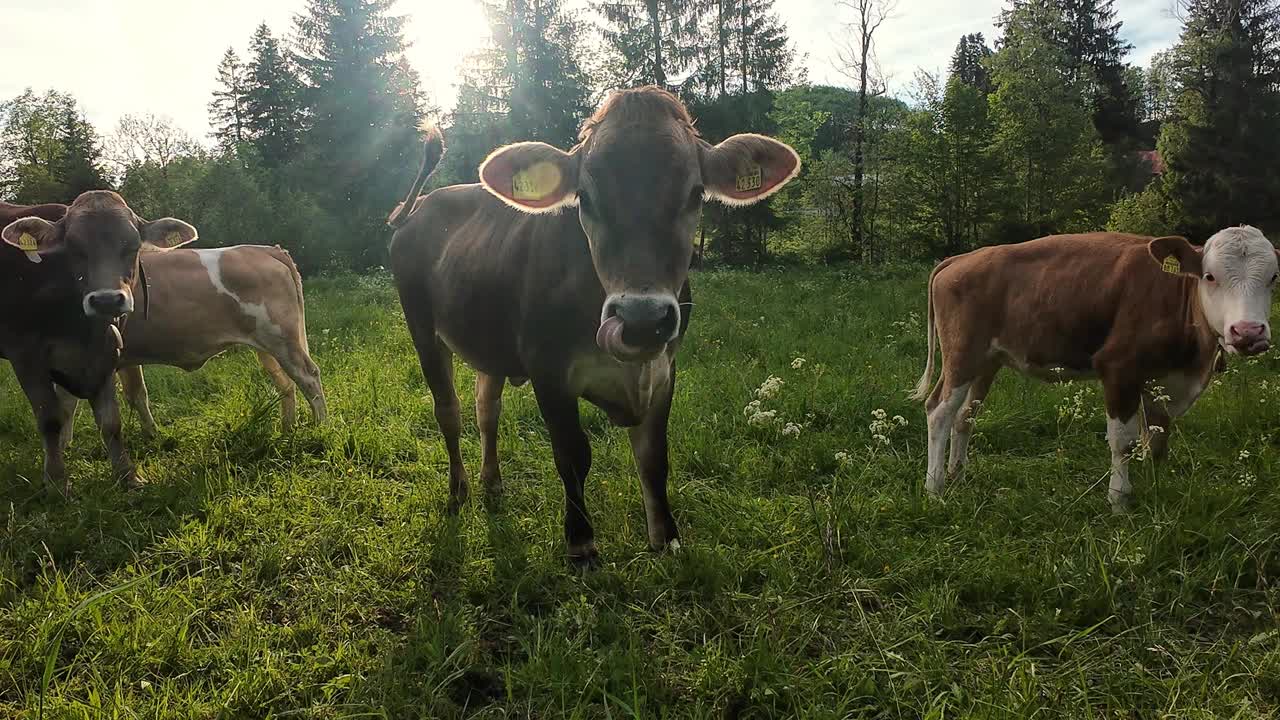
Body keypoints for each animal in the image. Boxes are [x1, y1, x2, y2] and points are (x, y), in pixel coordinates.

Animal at [0, 190, 197, 491]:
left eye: (133, 245)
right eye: (73, 248)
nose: (106, 299)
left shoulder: (106, 353)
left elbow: (110, 421)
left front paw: (127, 475)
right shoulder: (25, 356)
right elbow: (50, 420)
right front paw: (56, 480)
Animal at [386, 85, 798, 566]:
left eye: (696, 193)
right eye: (584, 196)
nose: (641, 319)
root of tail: (420, 205)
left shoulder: (665, 370)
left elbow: (655, 457)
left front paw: (666, 537)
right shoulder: (548, 371)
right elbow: (572, 454)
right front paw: (581, 541)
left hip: (490, 339)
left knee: (486, 408)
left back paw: (493, 483)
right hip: (421, 326)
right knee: (448, 412)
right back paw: (458, 491)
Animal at [911, 226, 1280, 507]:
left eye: (1274, 277)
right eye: (1210, 276)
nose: (1249, 332)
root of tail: (962, 258)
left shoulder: (1162, 382)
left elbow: (1157, 440)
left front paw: (1156, 488)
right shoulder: (1119, 369)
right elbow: (1122, 441)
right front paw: (1119, 499)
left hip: (987, 361)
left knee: (965, 416)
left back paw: (957, 473)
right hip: (962, 354)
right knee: (939, 411)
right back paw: (935, 486)